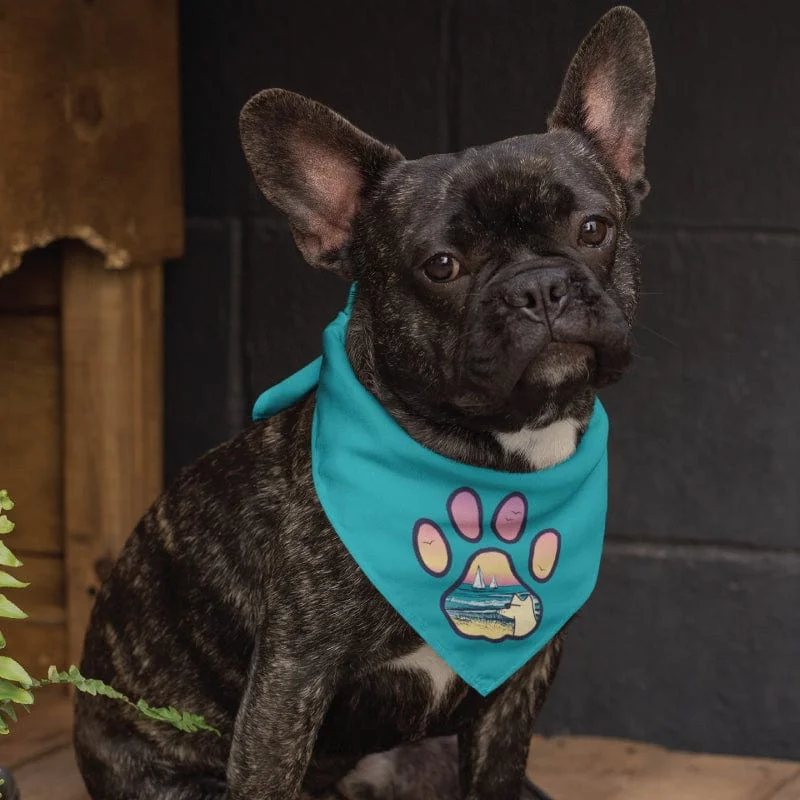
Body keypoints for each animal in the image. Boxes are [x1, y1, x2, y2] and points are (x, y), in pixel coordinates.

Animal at [75, 7, 652, 800]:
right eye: (442, 266)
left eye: (594, 229)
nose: (540, 286)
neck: (492, 461)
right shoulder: (290, 684)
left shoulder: (519, 686)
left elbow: (496, 774)